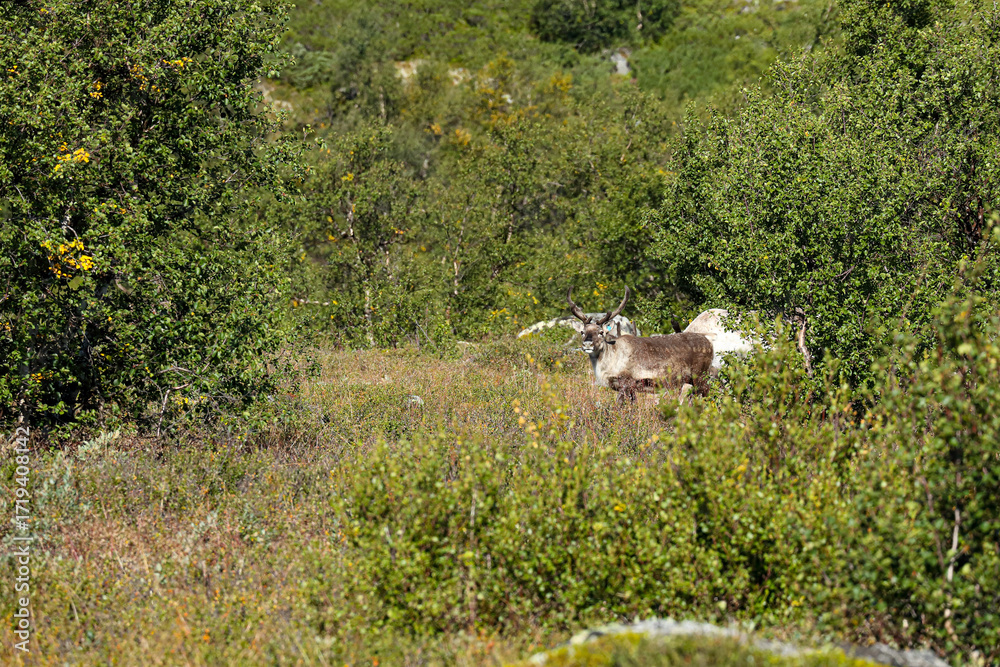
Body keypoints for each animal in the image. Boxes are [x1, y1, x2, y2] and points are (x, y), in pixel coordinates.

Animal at [567, 286, 714, 400]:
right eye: (582, 332)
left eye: (601, 332)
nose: (587, 344)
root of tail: (709, 343)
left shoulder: (627, 382)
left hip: (701, 376)